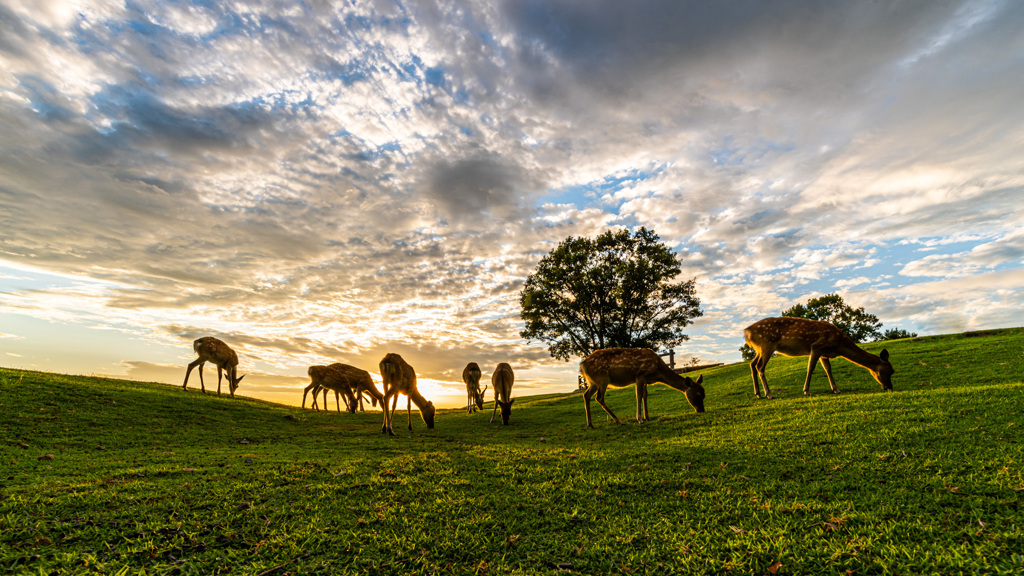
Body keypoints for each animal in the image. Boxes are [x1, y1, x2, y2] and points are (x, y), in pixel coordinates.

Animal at [745, 313, 897, 399]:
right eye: (890, 371)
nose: (890, 387)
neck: (838, 345)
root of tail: (747, 332)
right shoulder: (817, 347)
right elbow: (810, 368)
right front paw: (806, 391)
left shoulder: (824, 354)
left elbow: (828, 369)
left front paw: (836, 389)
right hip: (767, 344)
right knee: (760, 367)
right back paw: (769, 394)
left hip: (760, 349)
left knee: (752, 364)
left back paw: (758, 393)